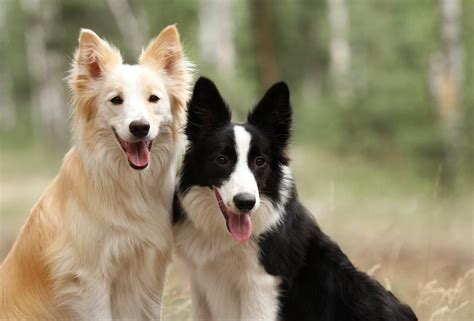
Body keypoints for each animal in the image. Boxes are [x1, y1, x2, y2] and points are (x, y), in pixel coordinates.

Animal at [0, 25, 193, 320]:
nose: (140, 127)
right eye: (116, 100)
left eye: (154, 99)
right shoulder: (88, 279)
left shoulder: (150, 271)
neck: (128, 184)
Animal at [172, 77, 416, 320]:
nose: (246, 203)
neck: (223, 235)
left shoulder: (260, 287)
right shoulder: (202, 285)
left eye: (260, 162)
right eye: (221, 159)